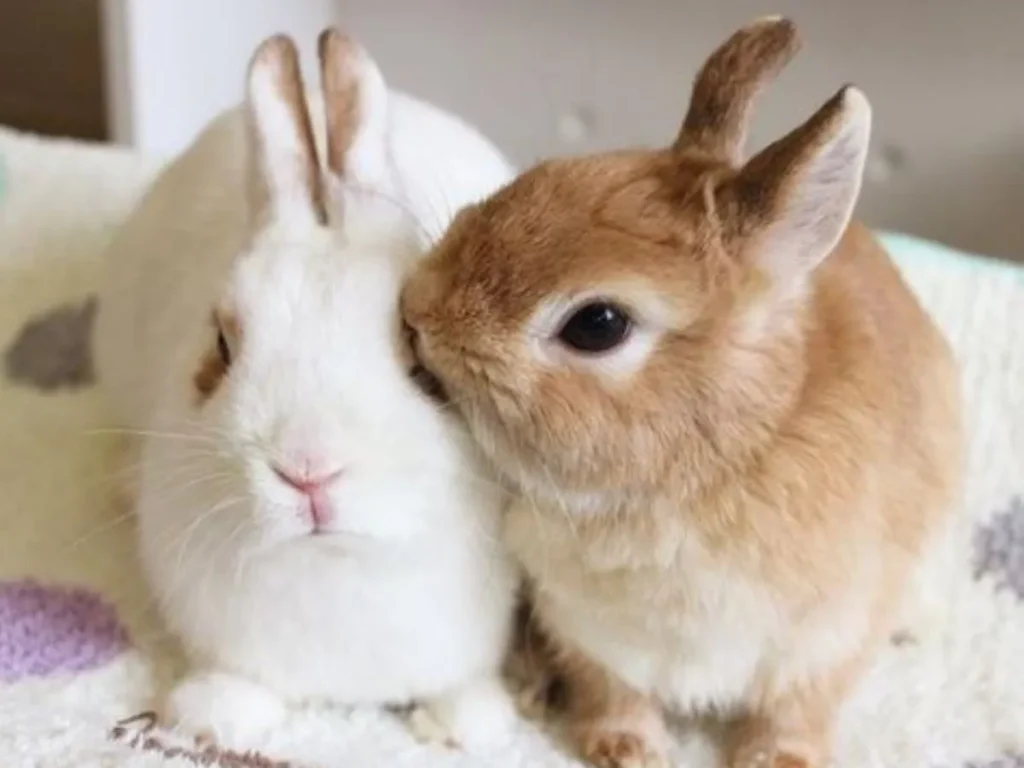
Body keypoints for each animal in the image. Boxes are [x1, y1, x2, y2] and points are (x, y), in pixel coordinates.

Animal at [94, 30, 520, 752]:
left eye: (418, 353)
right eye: (222, 345)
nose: (308, 469)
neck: (339, 566)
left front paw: (469, 725)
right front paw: (212, 716)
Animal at [401, 16, 962, 768]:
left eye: (598, 324)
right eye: (526, 183)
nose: (417, 311)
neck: (717, 460)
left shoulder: (827, 639)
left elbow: (798, 708)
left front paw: (777, 760)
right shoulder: (589, 634)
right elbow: (610, 691)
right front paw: (626, 749)